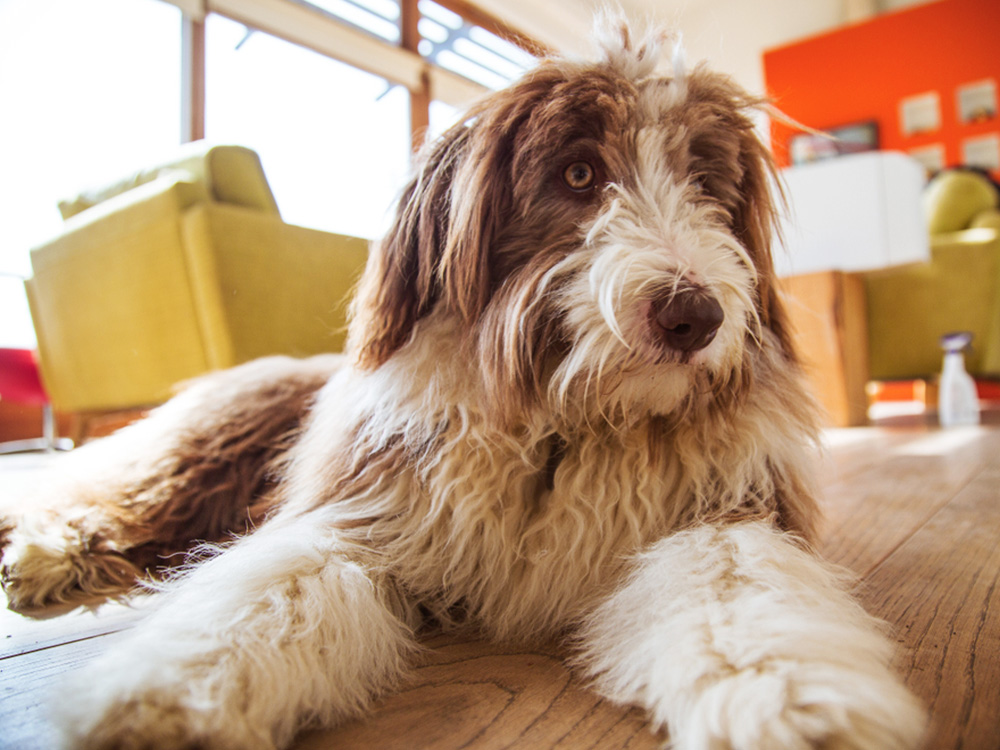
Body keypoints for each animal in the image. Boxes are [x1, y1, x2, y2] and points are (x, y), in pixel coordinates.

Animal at [0, 20, 924, 750]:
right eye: (579, 175)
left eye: (704, 180)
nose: (692, 315)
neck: (566, 425)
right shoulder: (366, 510)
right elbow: (273, 590)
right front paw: (168, 695)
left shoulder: (722, 510)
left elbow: (740, 593)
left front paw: (789, 702)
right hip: (211, 438)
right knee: (118, 481)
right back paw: (49, 549)